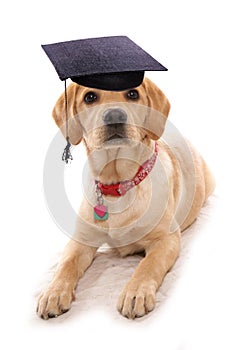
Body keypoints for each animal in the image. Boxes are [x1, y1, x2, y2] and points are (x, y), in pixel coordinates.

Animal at [36, 78, 216, 318]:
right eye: (89, 97)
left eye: (133, 94)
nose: (114, 116)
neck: (118, 185)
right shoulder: (81, 240)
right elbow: (65, 265)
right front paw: (53, 292)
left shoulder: (166, 239)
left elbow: (148, 265)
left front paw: (136, 292)